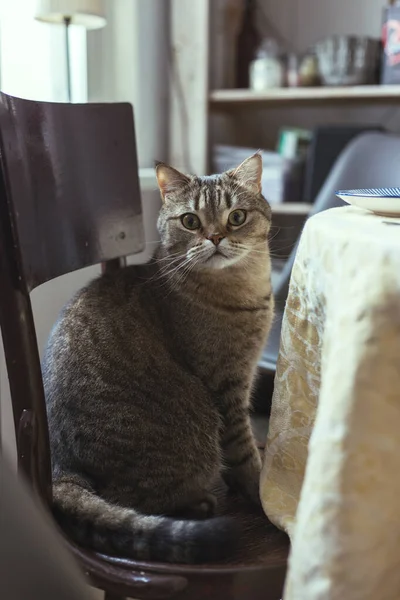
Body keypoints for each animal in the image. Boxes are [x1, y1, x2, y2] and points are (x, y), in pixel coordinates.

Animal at [43, 152, 276, 564]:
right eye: (190, 221)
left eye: (236, 217)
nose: (216, 237)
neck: (244, 289)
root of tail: (61, 469)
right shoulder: (227, 386)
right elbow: (244, 453)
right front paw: (258, 493)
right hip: (193, 429)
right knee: (131, 503)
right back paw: (198, 504)